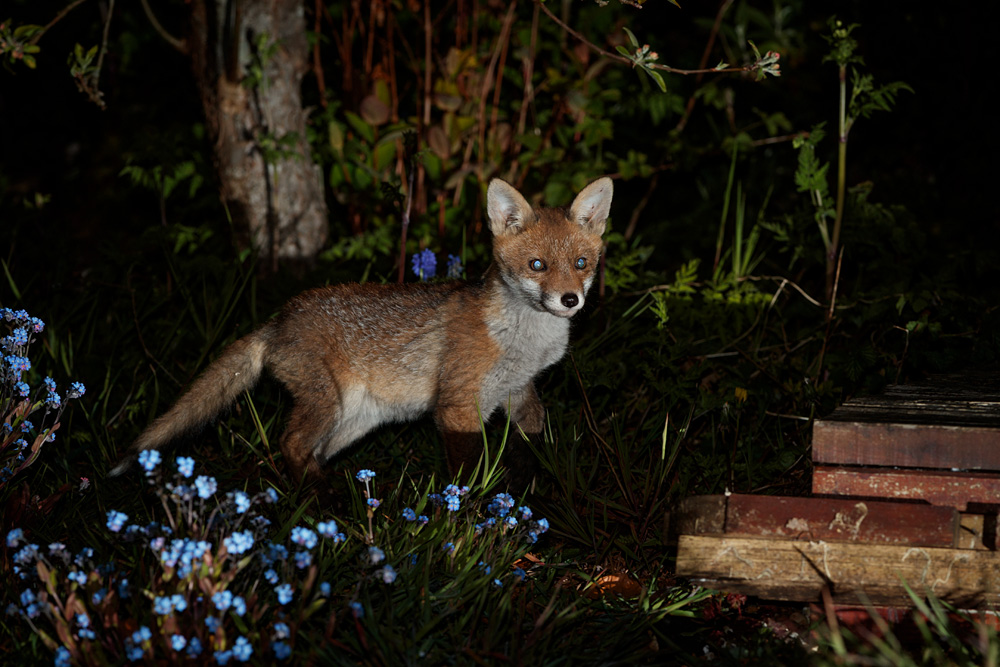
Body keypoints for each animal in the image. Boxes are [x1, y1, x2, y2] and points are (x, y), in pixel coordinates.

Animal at [110, 177, 613, 488]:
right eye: (537, 265)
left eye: (581, 263)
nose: (570, 300)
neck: (522, 342)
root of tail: (279, 318)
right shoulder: (457, 404)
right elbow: (468, 468)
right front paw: (470, 511)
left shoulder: (518, 391)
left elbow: (534, 438)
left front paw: (535, 481)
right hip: (326, 404)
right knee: (290, 445)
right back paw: (323, 503)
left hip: (354, 421)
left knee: (311, 452)